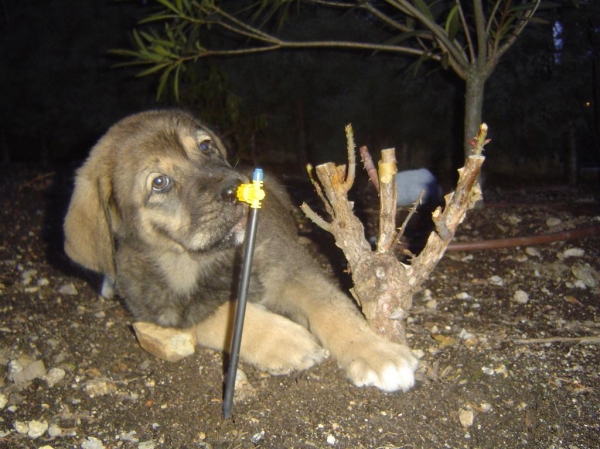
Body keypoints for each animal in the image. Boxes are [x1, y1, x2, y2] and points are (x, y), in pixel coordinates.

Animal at [62, 110, 418, 390]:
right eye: (159, 182)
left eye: (205, 146)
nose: (236, 189)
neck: (205, 260)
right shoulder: (164, 313)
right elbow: (227, 315)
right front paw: (288, 340)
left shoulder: (292, 269)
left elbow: (332, 308)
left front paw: (378, 353)